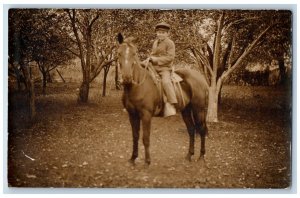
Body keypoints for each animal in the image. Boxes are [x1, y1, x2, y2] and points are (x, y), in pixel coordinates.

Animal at [117, 33, 209, 165]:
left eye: (134, 53)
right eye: (119, 53)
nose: (127, 78)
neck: (137, 86)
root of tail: (202, 79)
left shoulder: (146, 115)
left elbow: (145, 138)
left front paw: (147, 161)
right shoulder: (132, 115)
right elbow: (135, 136)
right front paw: (133, 158)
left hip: (199, 110)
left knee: (201, 130)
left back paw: (201, 156)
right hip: (186, 110)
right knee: (191, 130)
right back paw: (189, 155)